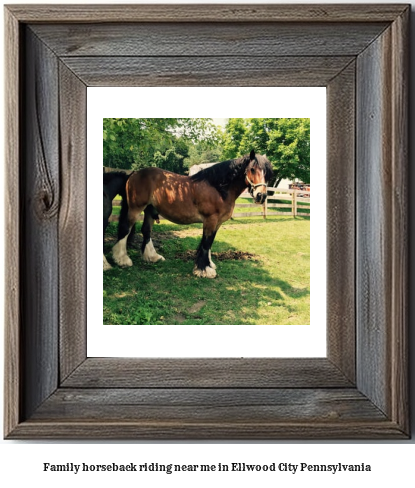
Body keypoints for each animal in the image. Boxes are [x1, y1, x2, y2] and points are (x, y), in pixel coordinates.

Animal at [111, 149, 272, 278]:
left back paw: (152, 257)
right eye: (252, 169)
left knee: (146, 231)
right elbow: (206, 243)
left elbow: (209, 242)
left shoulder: (217, 223)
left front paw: (208, 265)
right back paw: (122, 259)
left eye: (266, 172)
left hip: (150, 210)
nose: (261, 196)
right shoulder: (210, 220)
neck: (217, 187)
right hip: (135, 208)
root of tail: (134, 173)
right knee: (125, 229)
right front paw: (204, 270)